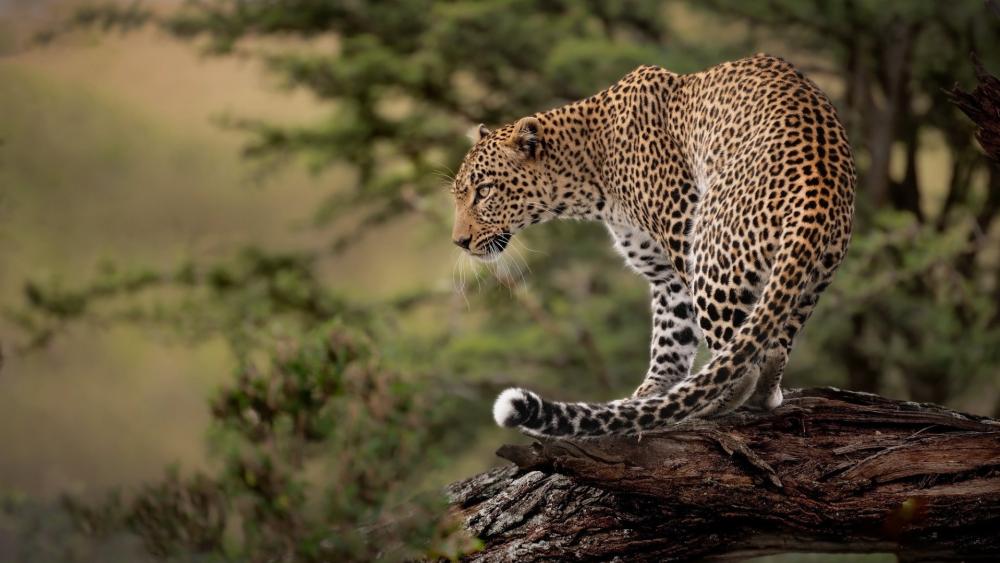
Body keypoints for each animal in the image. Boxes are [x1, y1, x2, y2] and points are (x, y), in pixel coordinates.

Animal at [449, 54, 855, 438]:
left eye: (484, 191)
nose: (459, 241)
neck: (589, 173)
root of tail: (821, 186)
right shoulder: (665, 275)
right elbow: (670, 337)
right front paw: (647, 398)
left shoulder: (679, 229)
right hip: (808, 277)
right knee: (773, 352)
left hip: (711, 248)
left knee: (746, 360)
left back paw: (711, 404)